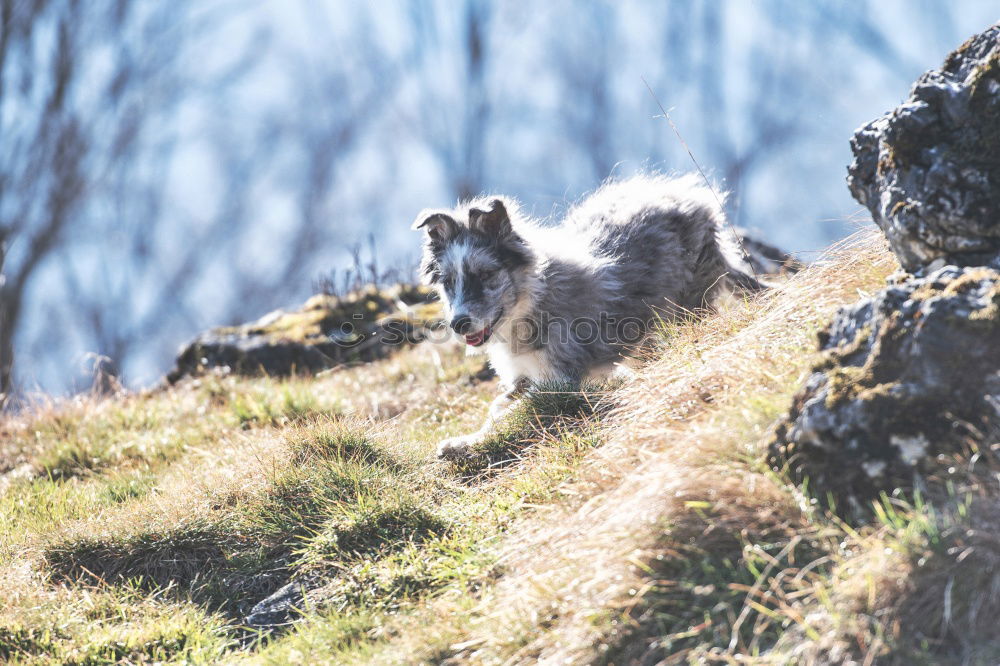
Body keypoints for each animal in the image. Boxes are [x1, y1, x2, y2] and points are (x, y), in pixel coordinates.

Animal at [414, 174, 764, 460]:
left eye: (486, 275)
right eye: (448, 282)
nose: (459, 324)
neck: (532, 301)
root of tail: (690, 197)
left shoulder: (558, 381)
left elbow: (509, 412)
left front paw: (467, 443)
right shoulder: (522, 376)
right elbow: (497, 406)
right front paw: (468, 439)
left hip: (690, 301)